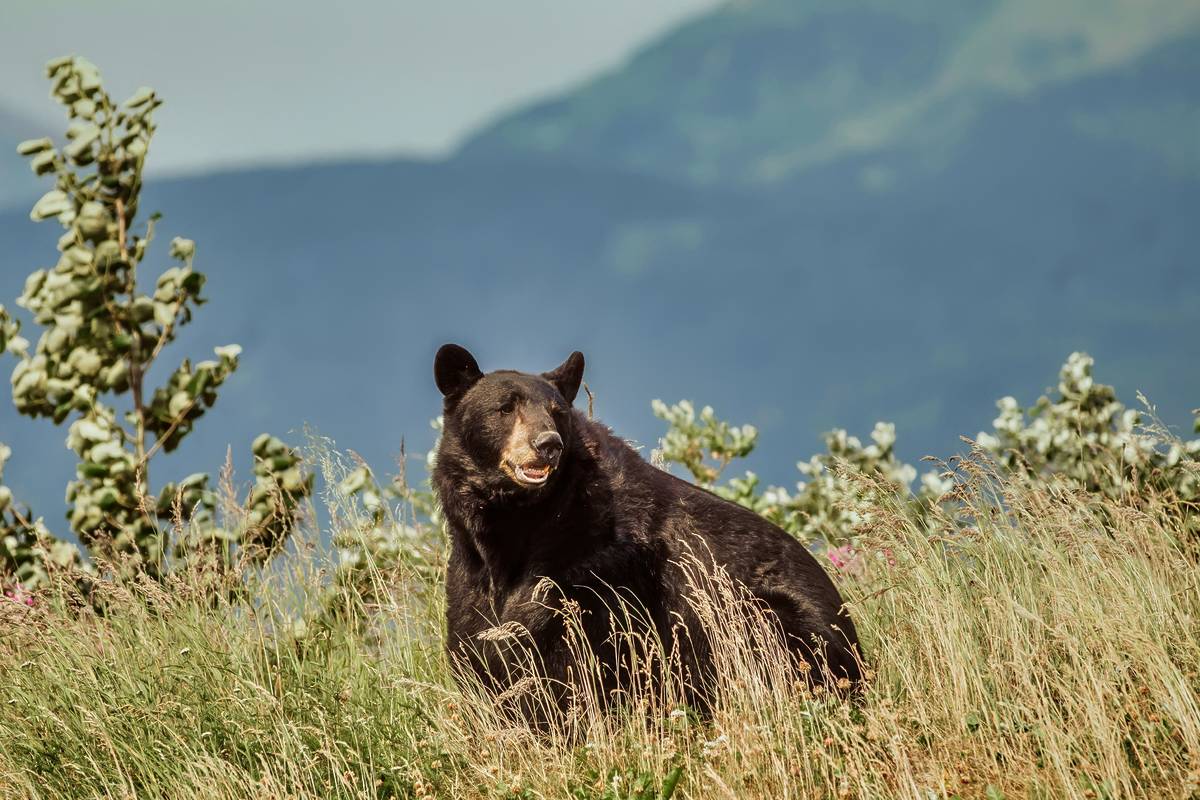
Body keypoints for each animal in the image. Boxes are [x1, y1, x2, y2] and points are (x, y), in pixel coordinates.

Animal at [432, 343, 862, 722]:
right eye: (506, 407)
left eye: (557, 413)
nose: (547, 444)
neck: (519, 524)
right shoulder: (470, 570)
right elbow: (476, 641)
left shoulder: (598, 568)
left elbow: (568, 656)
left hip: (768, 618)